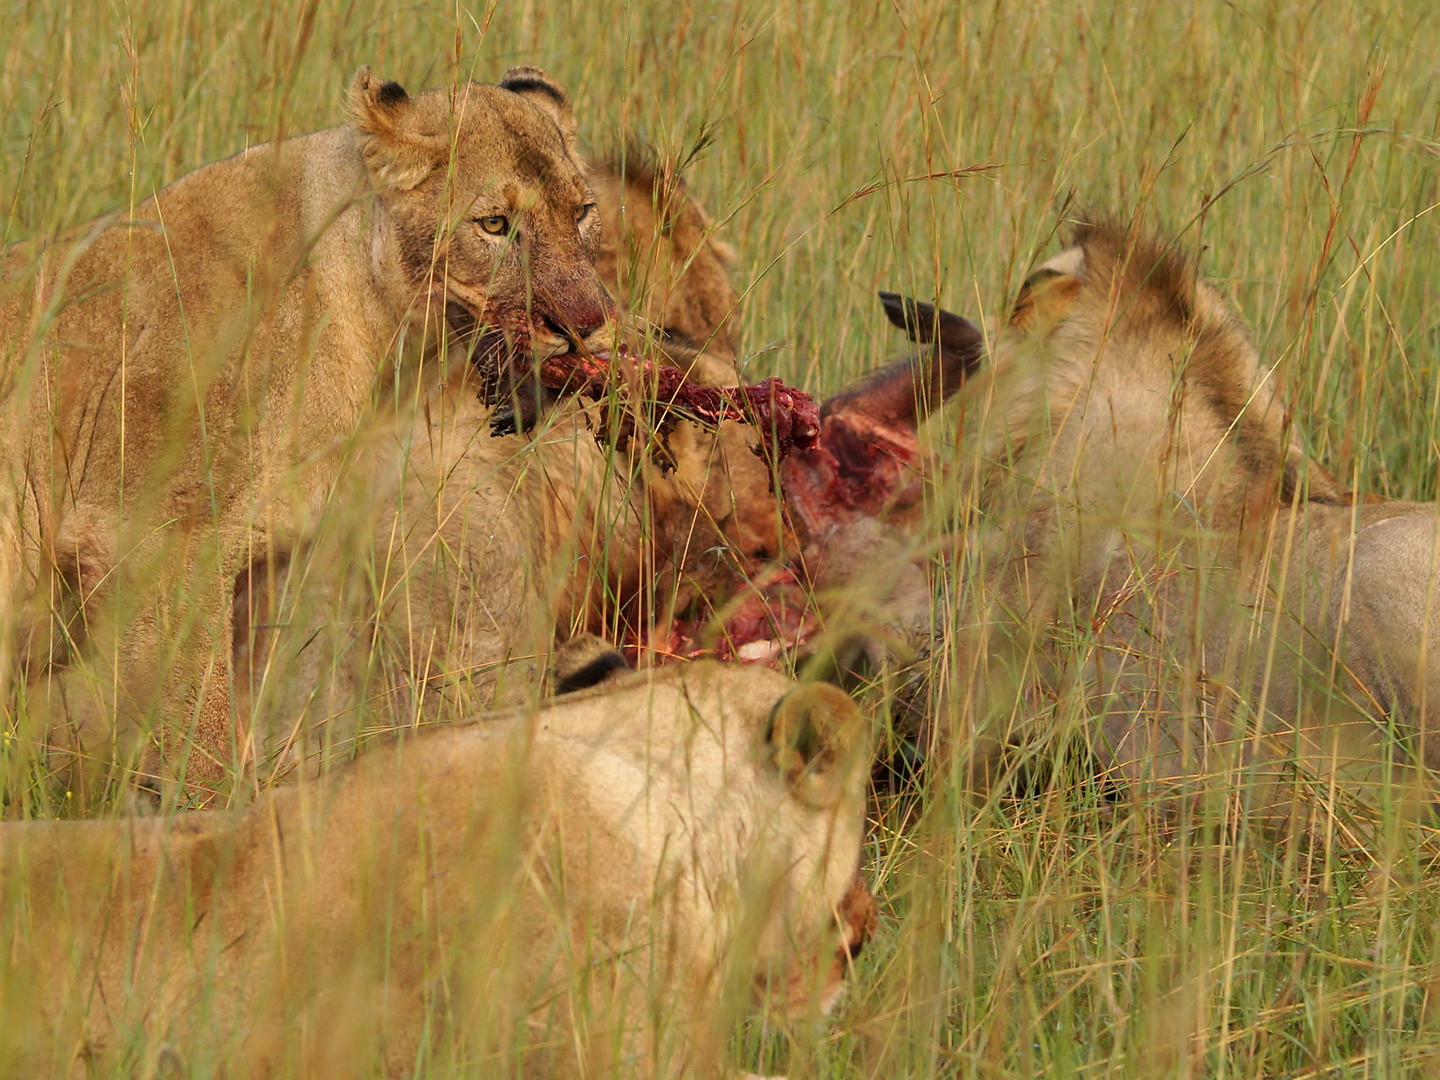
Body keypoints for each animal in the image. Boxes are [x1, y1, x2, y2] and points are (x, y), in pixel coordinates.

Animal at [2, 65, 616, 794]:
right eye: (494, 224)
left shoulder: (267, 564)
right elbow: (196, 728)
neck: (380, 332)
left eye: (582, 212)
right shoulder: (152, 539)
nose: (587, 323)